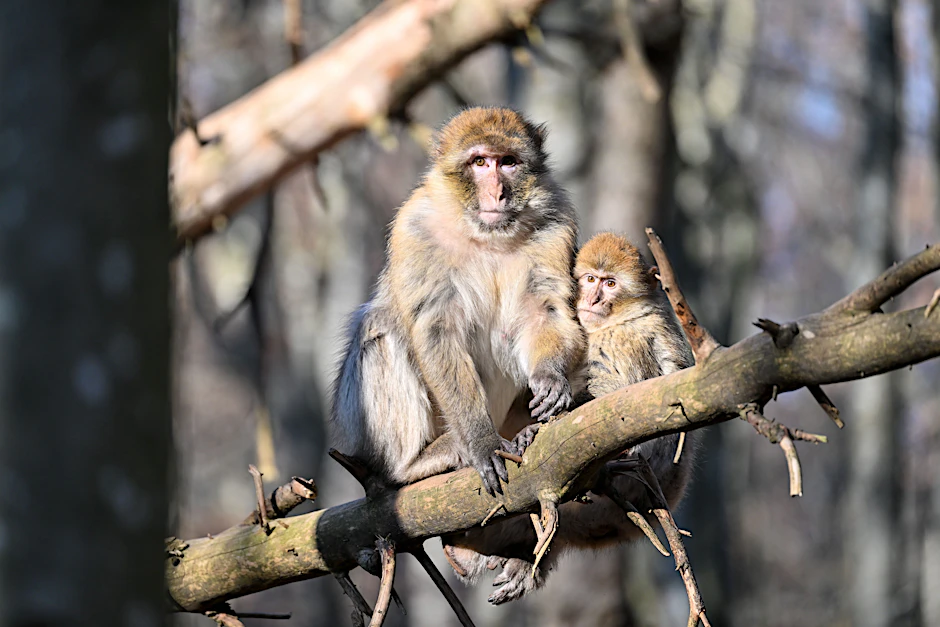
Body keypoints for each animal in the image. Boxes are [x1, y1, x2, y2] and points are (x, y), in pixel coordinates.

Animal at [330, 107, 584, 498]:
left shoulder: (556, 223)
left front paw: (550, 377)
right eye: (479, 162)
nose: (497, 193)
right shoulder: (414, 228)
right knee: (380, 332)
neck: (485, 235)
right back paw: (416, 462)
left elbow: (543, 310)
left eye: (508, 162)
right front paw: (481, 442)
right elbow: (437, 330)